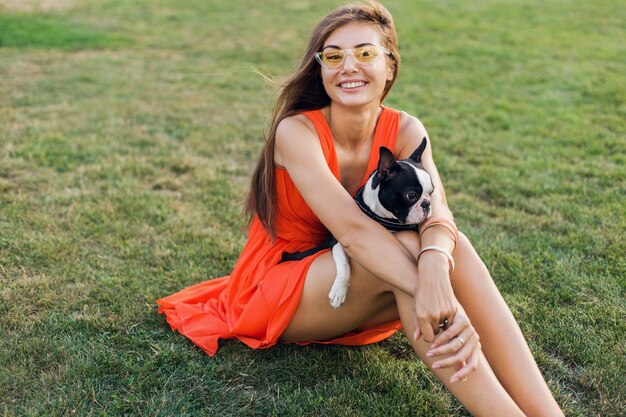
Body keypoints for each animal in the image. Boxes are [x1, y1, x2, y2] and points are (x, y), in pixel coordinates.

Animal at [280, 136, 432, 306]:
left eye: (432, 192)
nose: (427, 204)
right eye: (411, 195)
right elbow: (344, 265)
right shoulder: (338, 241)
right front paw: (339, 291)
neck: (385, 219)